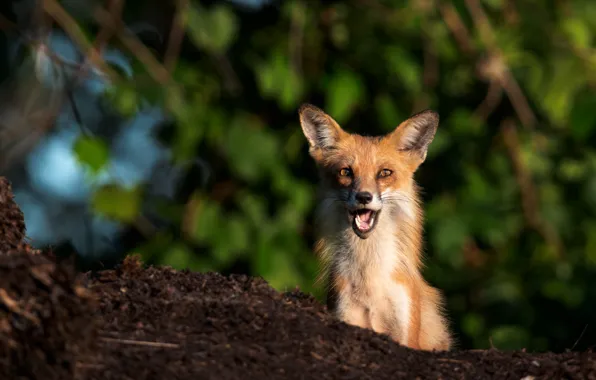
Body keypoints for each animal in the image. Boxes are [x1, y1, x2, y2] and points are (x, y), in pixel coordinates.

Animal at [298, 103, 452, 350]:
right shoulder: (345, 315)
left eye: (384, 173)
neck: (369, 284)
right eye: (346, 172)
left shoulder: (405, 326)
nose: (364, 197)